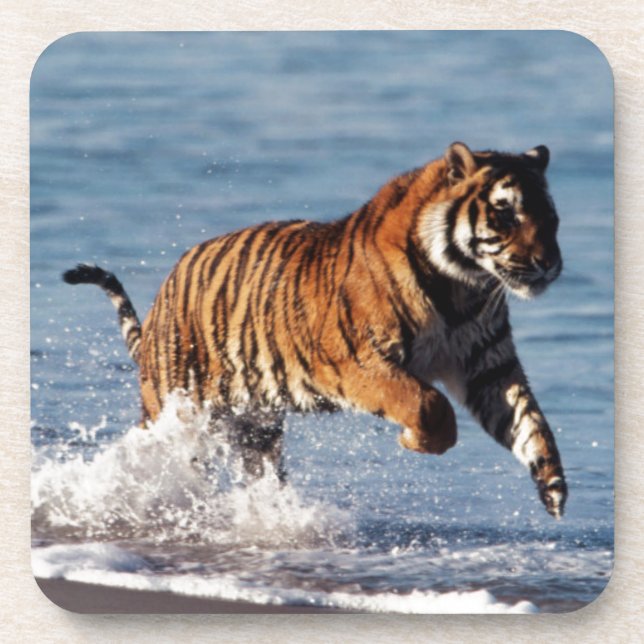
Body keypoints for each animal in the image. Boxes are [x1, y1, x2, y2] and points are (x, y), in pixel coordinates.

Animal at [63, 141, 567, 518]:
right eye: (506, 214)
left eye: (551, 218)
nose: (549, 265)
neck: (463, 287)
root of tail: (163, 295)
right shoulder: (361, 362)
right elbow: (428, 405)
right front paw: (415, 440)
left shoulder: (488, 366)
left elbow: (530, 421)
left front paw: (553, 485)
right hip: (177, 412)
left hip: (256, 429)